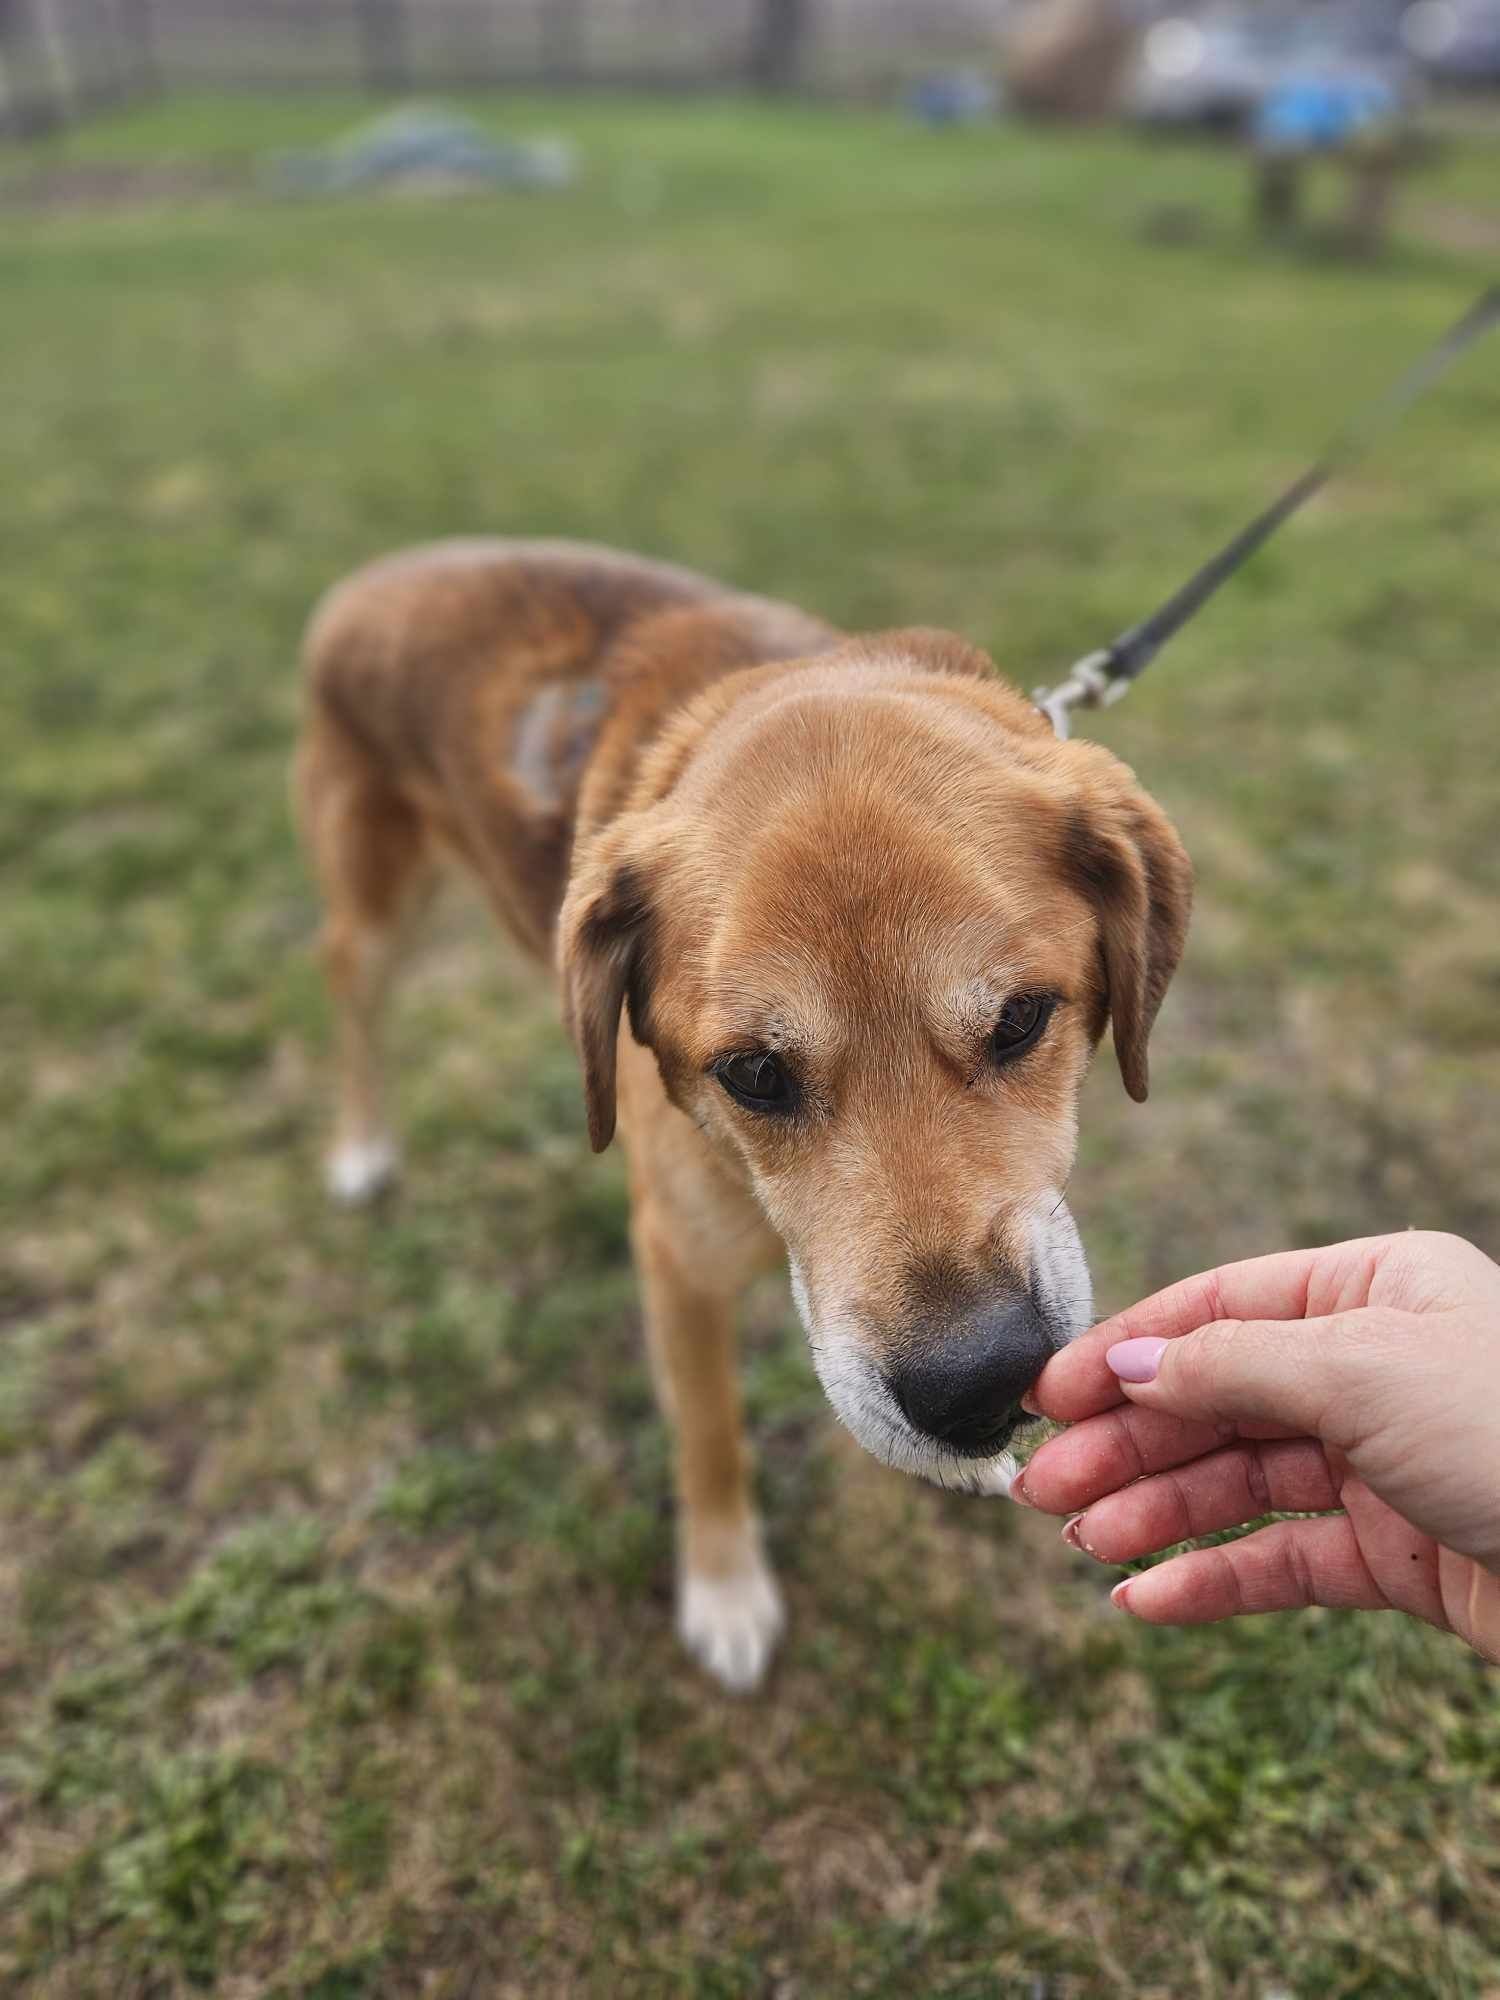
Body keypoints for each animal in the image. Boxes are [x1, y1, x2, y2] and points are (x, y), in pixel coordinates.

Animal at [296, 544, 1200, 1688]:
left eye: (1021, 1017)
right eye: (756, 1072)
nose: (980, 1390)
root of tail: (374, 574)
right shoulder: (677, 1259)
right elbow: (710, 1438)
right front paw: (725, 1593)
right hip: (377, 895)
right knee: (347, 989)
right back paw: (362, 1147)